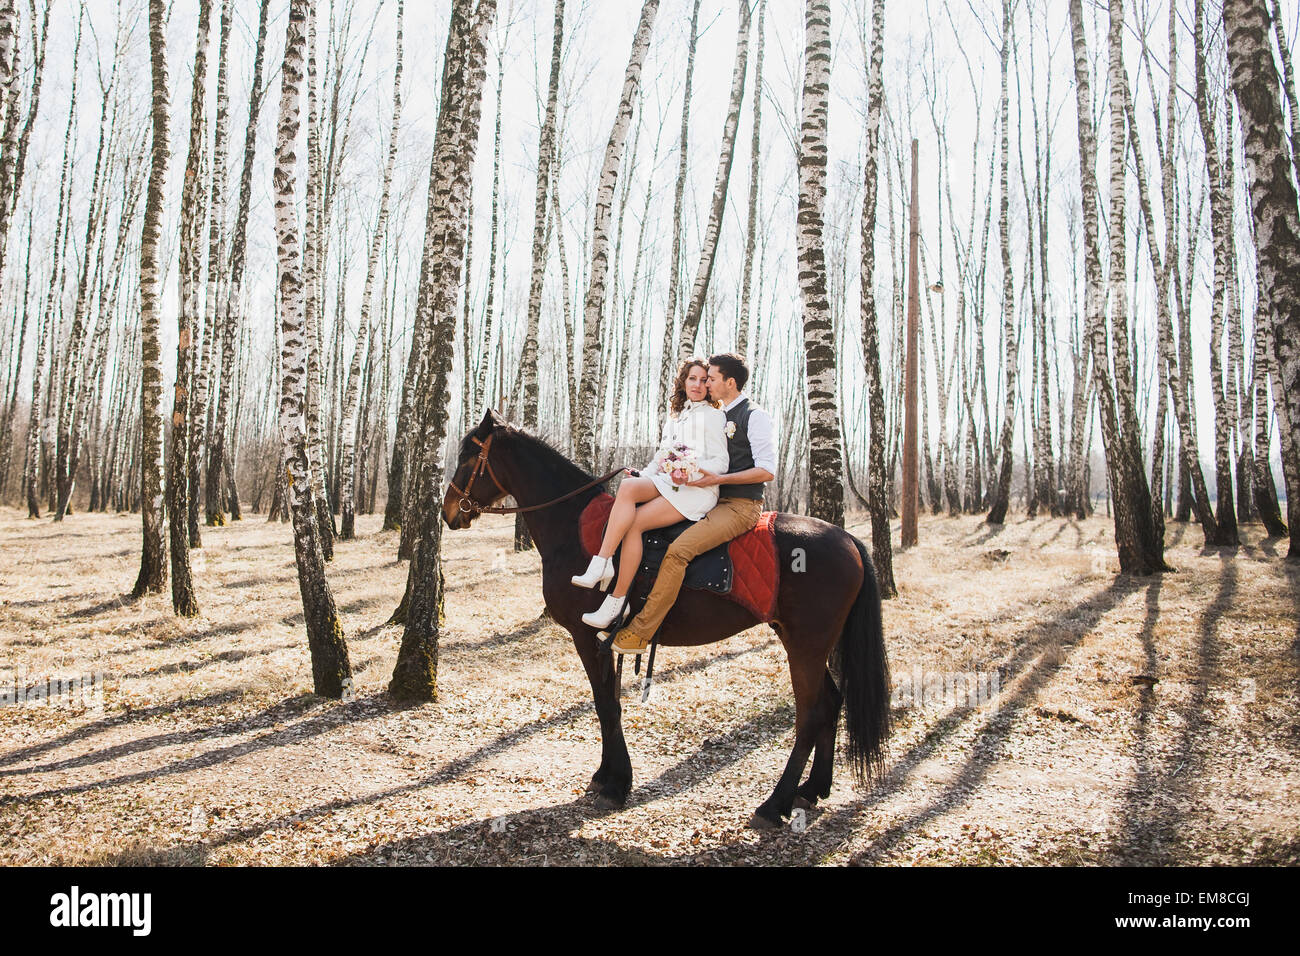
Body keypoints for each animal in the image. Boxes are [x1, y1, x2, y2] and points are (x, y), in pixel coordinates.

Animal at [441, 411, 889, 832]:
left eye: (467, 458)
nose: (448, 512)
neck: (574, 527)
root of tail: (848, 539)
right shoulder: (602, 640)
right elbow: (610, 702)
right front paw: (607, 775)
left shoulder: (587, 636)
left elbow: (605, 704)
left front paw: (615, 783)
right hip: (810, 644)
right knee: (831, 703)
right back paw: (812, 789)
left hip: (806, 646)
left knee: (810, 714)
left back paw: (773, 804)